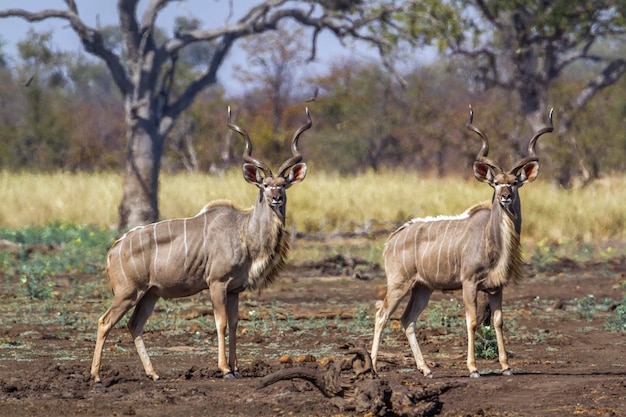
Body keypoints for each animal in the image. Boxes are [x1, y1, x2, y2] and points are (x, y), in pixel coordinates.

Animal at [89, 105, 310, 382]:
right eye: (265, 185)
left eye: (283, 185)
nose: (277, 198)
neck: (244, 231)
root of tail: (113, 250)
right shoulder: (217, 283)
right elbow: (221, 322)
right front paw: (225, 370)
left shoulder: (235, 289)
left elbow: (235, 322)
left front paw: (237, 368)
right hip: (127, 292)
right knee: (104, 322)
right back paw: (97, 377)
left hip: (150, 294)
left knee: (134, 325)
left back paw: (154, 374)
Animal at [370, 105, 552, 376]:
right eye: (495, 183)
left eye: (514, 183)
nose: (505, 197)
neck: (492, 241)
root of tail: (392, 239)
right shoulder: (469, 283)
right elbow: (472, 321)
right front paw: (473, 368)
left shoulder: (496, 287)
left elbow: (498, 321)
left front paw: (506, 366)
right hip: (399, 284)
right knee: (381, 315)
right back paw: (373, 367)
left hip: (422, 288)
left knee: (407, 319)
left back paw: (426, 369)